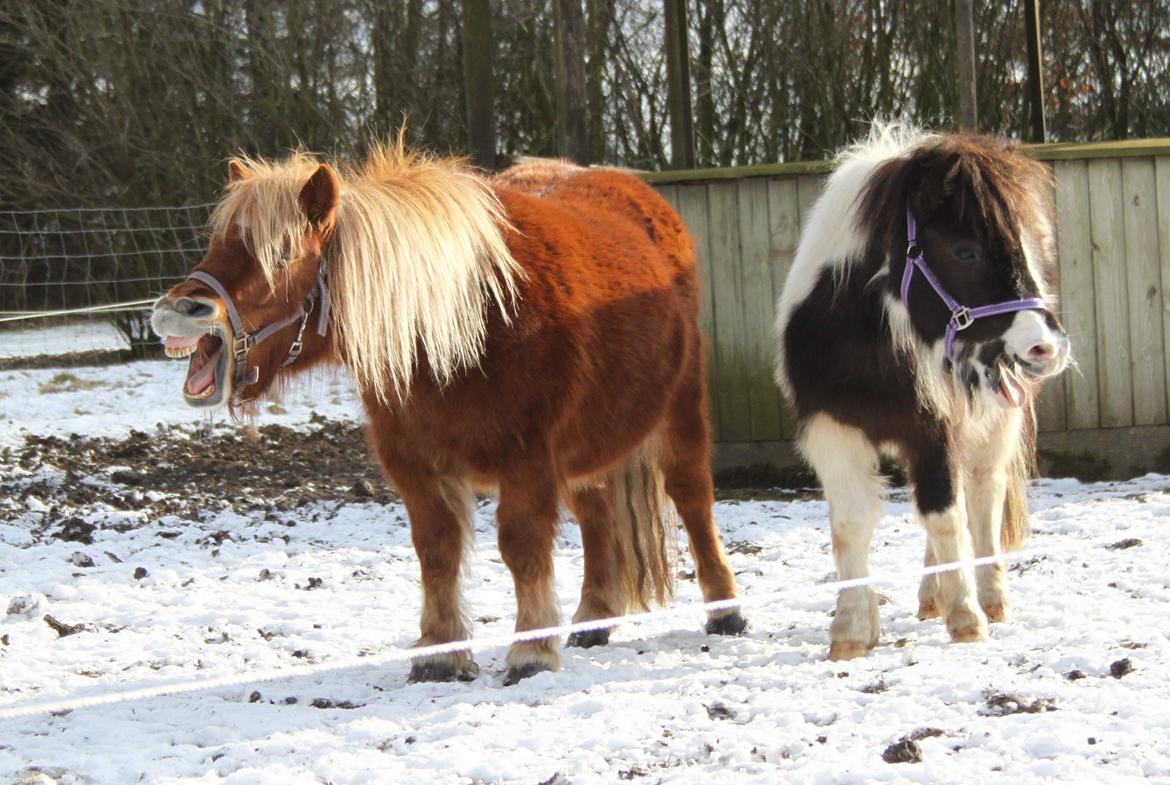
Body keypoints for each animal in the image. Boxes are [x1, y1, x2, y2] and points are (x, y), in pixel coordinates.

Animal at [150, 144, 744, 683]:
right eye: (216, 244)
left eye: (281, 256)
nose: (179, 310)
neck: (463, 326)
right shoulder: (416, 468)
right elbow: (436, 553)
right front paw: (440, 652)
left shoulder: (527, 462)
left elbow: (522, 548)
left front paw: (530, 650)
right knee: (598, 514)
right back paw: (594, 618)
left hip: (679, 412)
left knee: (692, 498)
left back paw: (725, 611)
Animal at [776, 125, 1071, 659]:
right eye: (965, 250)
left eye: (1023, 244)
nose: (1047, 346)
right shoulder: (834, 432)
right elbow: (849, 526)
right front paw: (851, 631)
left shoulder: (936, 432)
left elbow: (947, 518)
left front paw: (968, 618)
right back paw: (932, 596)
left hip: (992, 431)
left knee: (982, 503)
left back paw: (988, 596)